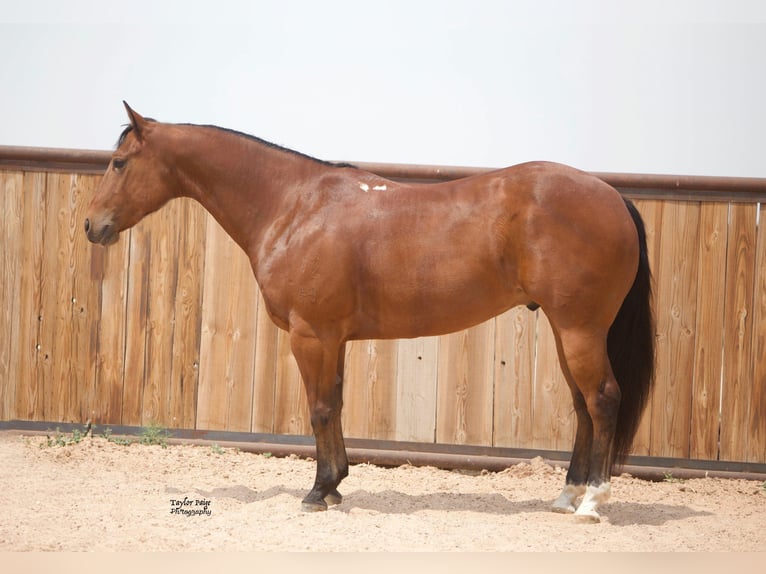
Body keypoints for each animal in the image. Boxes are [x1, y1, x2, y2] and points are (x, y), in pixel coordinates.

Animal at [87, 101, 656, 524]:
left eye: (120, 162)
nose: (93, 225)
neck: (294, 207)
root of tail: (612, 196)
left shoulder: (310, 335)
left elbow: (319, 408)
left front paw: (318, 491)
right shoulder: (333, 339)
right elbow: (335, 406)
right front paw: (336, 485)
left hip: (580, 329)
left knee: (603, 400)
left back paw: (591, 502)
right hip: (566, 330)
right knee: (582, 406)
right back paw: (565, 496)